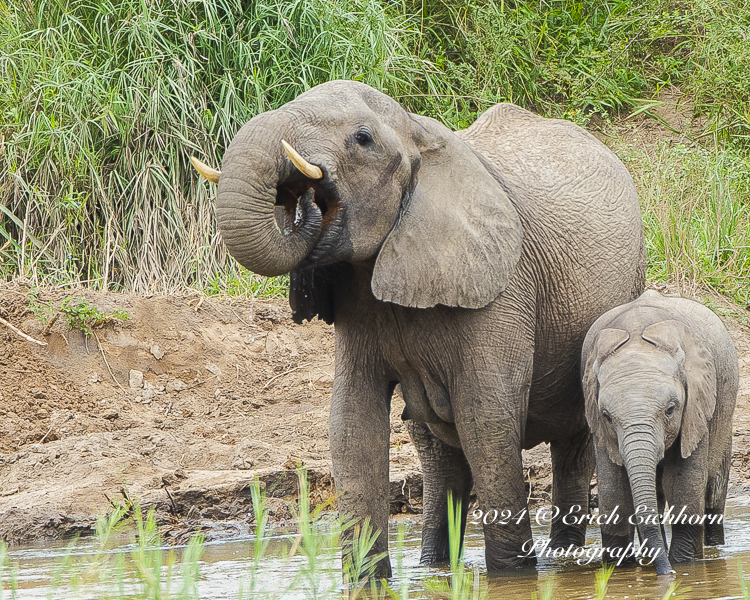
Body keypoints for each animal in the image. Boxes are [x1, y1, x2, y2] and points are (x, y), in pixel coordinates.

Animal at [192, 78, 648, 572]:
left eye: (362, 139)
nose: (305, 204)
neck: (419, 136)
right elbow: (352, 425)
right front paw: (367, 579)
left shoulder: (502, 288)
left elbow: (486, 418)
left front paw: (511, 575)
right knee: (436, 451)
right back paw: (434, 565)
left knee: (571, 446)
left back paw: (563, 558)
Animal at [580, 290, 740, 576]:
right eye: (607, 416)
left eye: (670, 409)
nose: (667, 574)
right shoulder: (597, 422)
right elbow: (614, 488)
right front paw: (618, 570)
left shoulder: (695, 407)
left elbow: (684, 483)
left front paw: (684, 566)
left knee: (713, 490)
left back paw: (712, 548)